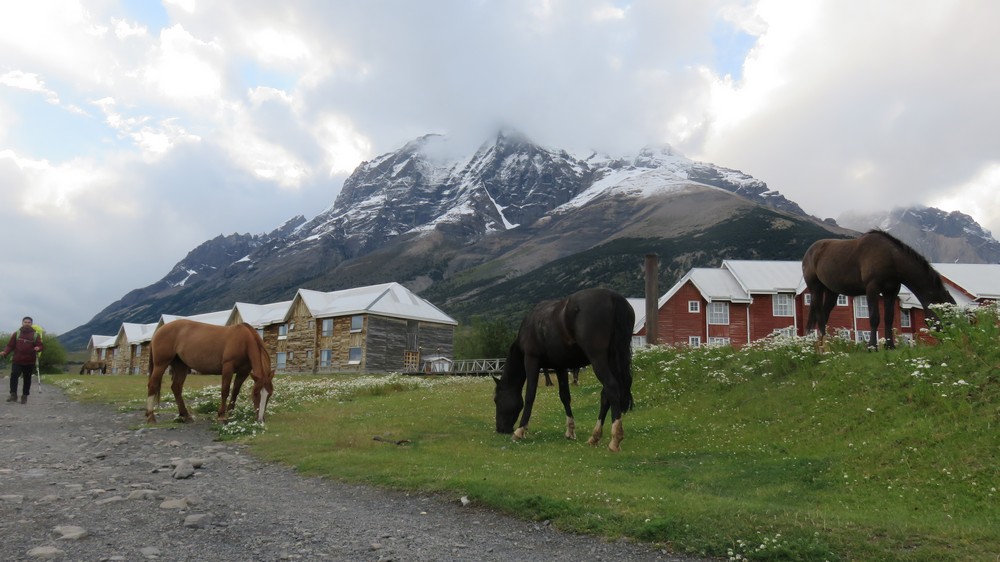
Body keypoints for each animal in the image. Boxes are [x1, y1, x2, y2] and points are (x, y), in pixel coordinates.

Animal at [146, 319, 274, 424]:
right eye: (256, 393)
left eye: (270, 394)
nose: (260, 420)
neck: (244, 341)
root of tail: (159, 330)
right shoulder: (228, 367)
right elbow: (225, 391)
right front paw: (221, 416)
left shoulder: (243, 372)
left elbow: (235, 392)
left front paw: (231, 413)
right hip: (161, 364)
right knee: (153, 385)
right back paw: (151, 417)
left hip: (181, 366)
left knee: (176, 388)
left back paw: (186, 415)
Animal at [493, 288, 634, 452]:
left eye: (496, 400)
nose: (500, 429)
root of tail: (612, 296)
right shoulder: (559, 366)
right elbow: (565, 396)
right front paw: (570, 431)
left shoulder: (531, 360)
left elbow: (529, 395)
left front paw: (520, 430)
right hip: (612, 359)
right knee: (606, 394)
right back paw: (595, 436)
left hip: (598, 359)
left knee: (611, 387)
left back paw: (615, 439)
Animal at [802, 229, 956, 350]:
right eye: (944, 312)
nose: (950, 339)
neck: (890, 257)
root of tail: (810, 251)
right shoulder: (872, 288)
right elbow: (874, 317)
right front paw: (872, 346)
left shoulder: (891, 291)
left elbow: (888, 318)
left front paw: (890, 345)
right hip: (815, 288)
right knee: (819, 314)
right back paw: (825, 344)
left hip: (831, 291)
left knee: (824, 313)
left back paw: (821, 345)